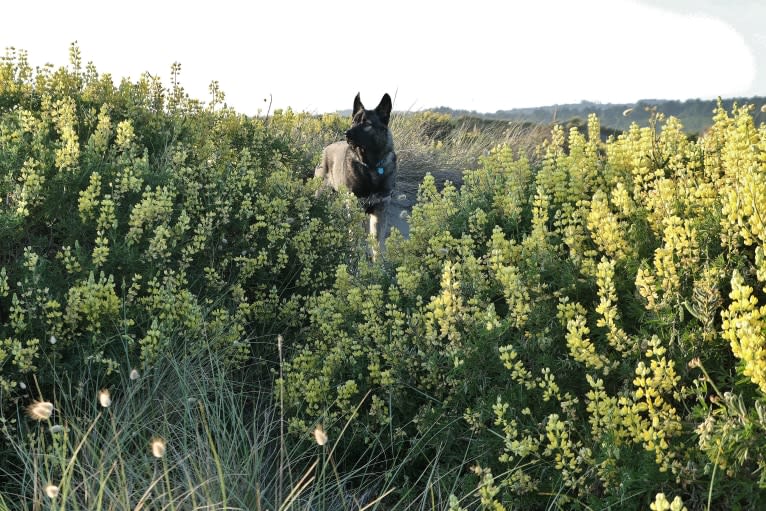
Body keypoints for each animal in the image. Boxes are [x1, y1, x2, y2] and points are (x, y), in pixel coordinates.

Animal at [316, 92, 400, 256]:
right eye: (353, 122)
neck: (371, 166)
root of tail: (326, 148)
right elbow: (356, 242)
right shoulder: (356, 207)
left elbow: (377, 246)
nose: (346, 133)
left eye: (367, 124)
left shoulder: (379, 211)